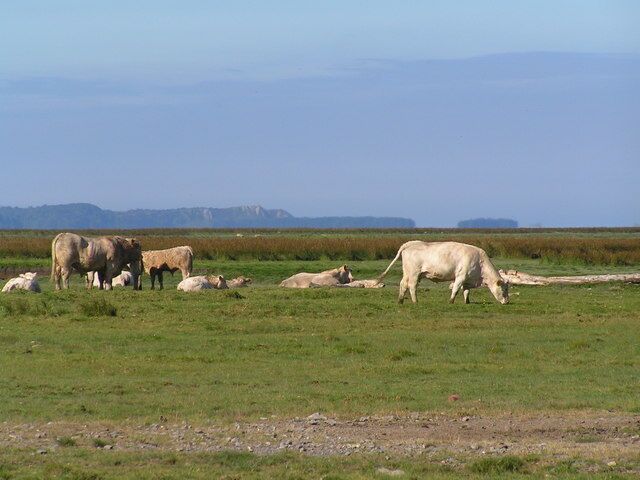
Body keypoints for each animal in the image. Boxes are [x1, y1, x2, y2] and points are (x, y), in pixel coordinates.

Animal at [376, 241, 509, 305]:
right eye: (504, 290)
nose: (507, 302)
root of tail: (410, 244)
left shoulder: (467, 279)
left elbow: (466, 291)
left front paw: (467, 302)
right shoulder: (460, 276)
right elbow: (456, 289)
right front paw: (451, 301)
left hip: (408, 273)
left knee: (403, 284)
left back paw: (400, 301)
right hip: (414, 273)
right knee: (412, 286)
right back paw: (415, 302)